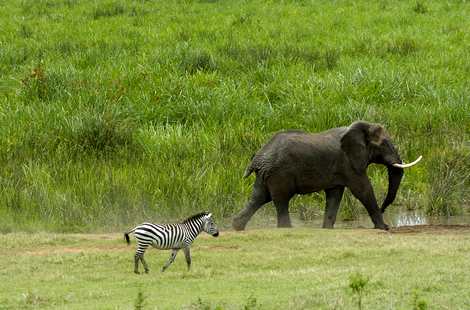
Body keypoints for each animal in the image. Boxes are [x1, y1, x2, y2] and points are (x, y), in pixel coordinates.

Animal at [232, 121, 422, 230]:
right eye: (384, 144)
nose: (384, 209)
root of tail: (258, 158)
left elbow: (335, 195)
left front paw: (327, 229)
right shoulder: (348, 163)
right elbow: (363, 190)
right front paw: (384, 227)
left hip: (266, 175)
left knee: (259, 197)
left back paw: (237, 227)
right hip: (280, 173)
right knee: (281, 200)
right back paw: (286, 229)